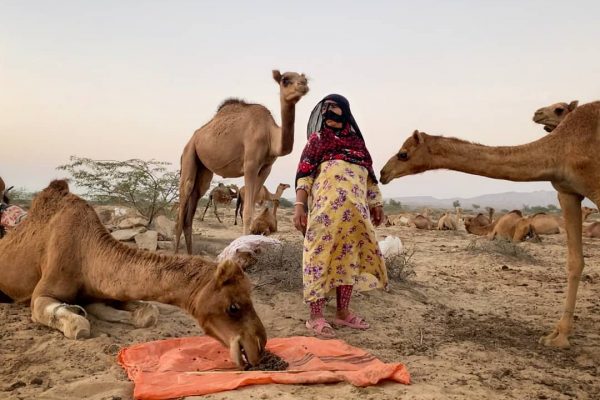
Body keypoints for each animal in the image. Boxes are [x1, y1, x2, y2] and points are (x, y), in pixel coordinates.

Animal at [0, 180, 268, 368]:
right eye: (233, 307)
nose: (260, 344)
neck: (86, 251)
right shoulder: (43, 292)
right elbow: (79, 326)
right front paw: (78, 314)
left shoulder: (104, 288)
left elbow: (147, 312)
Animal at [176, 70, 310, 253]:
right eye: (285, 80)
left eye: (305, 78)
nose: (303, 85)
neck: (270, 134)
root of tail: (192, 139)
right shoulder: (250, 164)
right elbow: (246, 212)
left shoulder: (266, 168)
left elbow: (252, 206)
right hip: (189, 154)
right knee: (183, 201)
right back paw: (175, 252)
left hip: (203, 170)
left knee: (191, 208)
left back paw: (190, 255)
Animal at [380, 101, 600, 348]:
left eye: (403, 153)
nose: (383, 173)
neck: (562, 148)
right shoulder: (567, 191)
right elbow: (574, 262)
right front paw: (558, 335)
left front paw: (560, 337)